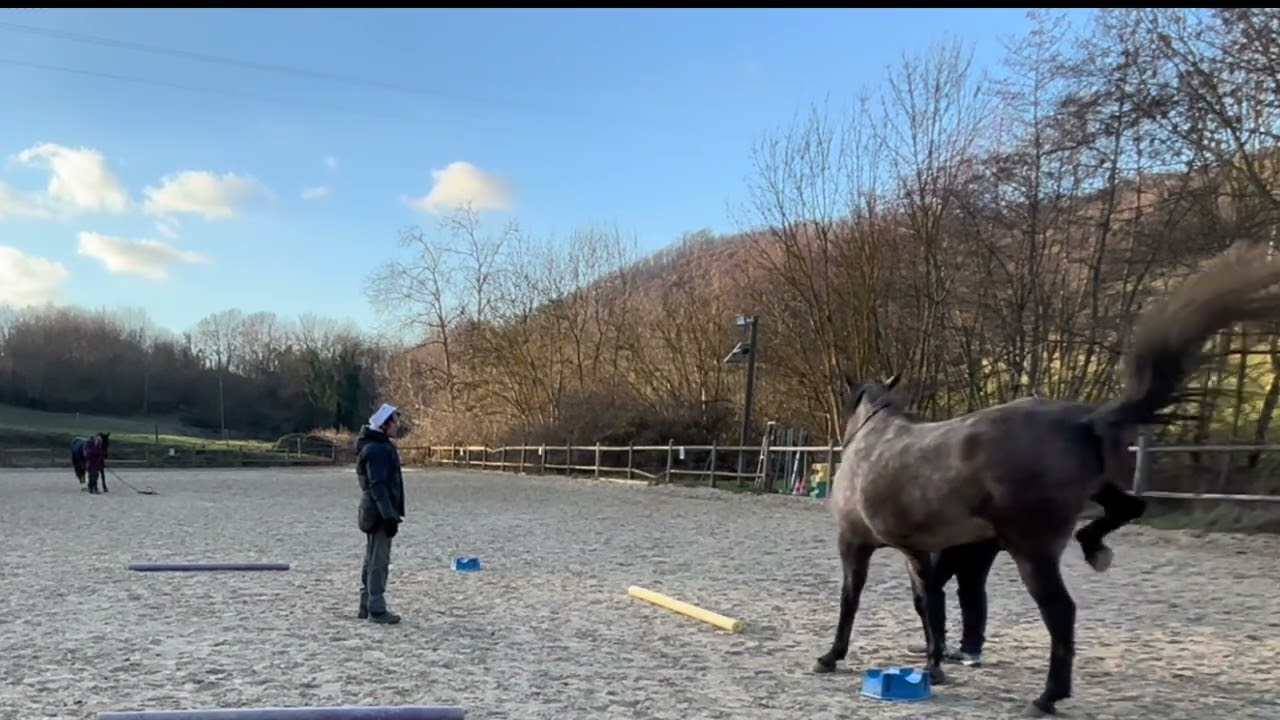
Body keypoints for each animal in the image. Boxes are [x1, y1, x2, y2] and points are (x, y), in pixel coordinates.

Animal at [814, 241, 1280, 716]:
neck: (873, 437)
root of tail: (1085, 420)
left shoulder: (854, 542)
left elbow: (852, 598)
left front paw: (832, 656)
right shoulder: (918, 552)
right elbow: (927, 603)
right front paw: (934, 664)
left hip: (1033, 552)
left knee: (1061, 613)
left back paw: (1048, 696)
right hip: (1092, 497)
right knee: (1129, 508)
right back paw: (1094, 549)